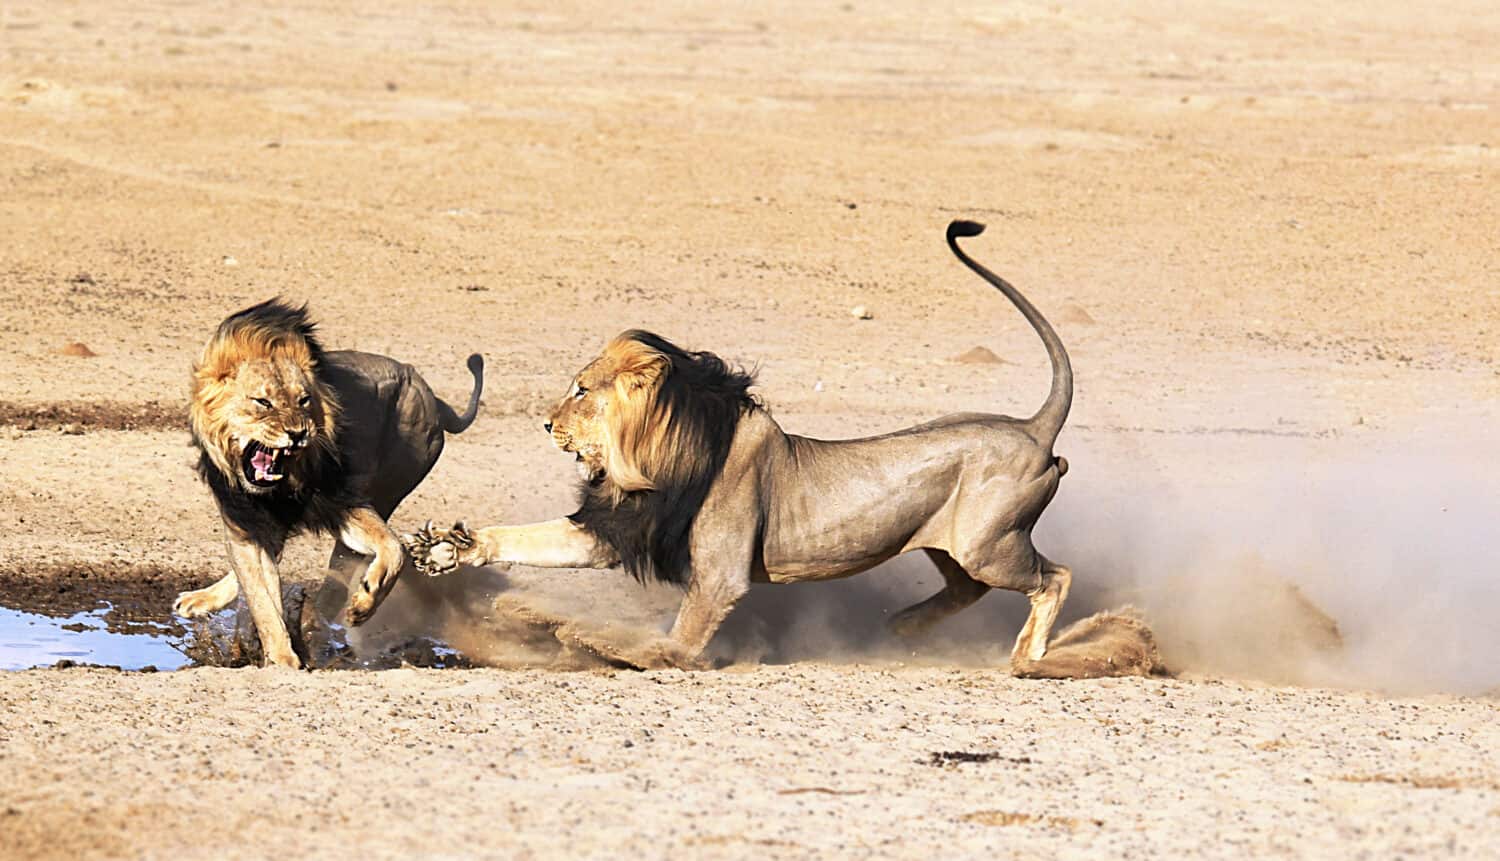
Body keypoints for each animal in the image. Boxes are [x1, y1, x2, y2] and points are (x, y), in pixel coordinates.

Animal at [174, 300, 483, 672]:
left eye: (304, 400)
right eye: (263, 402)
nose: (298, 433)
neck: (283, 486)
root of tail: (433, 397)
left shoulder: (340, 502)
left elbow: (393, 548)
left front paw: (363, 604)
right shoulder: (247, 526)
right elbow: (263, 601)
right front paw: (280, 656)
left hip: (388, 488)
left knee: (336, 583)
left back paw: (318, 626)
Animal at [405, 219, 1074, 672]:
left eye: (580, 390)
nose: (545, 425)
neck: (658, 460)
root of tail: (1032, 428)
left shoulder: (719, 575)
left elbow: (686, 631)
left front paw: (644, 651)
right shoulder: (617, 527)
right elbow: (530, 539)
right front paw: (448, 548)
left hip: (990, 545)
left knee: (1055, 577)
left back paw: (1029, 656)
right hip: (956, 547)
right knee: (968, 588)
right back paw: (906, 626)